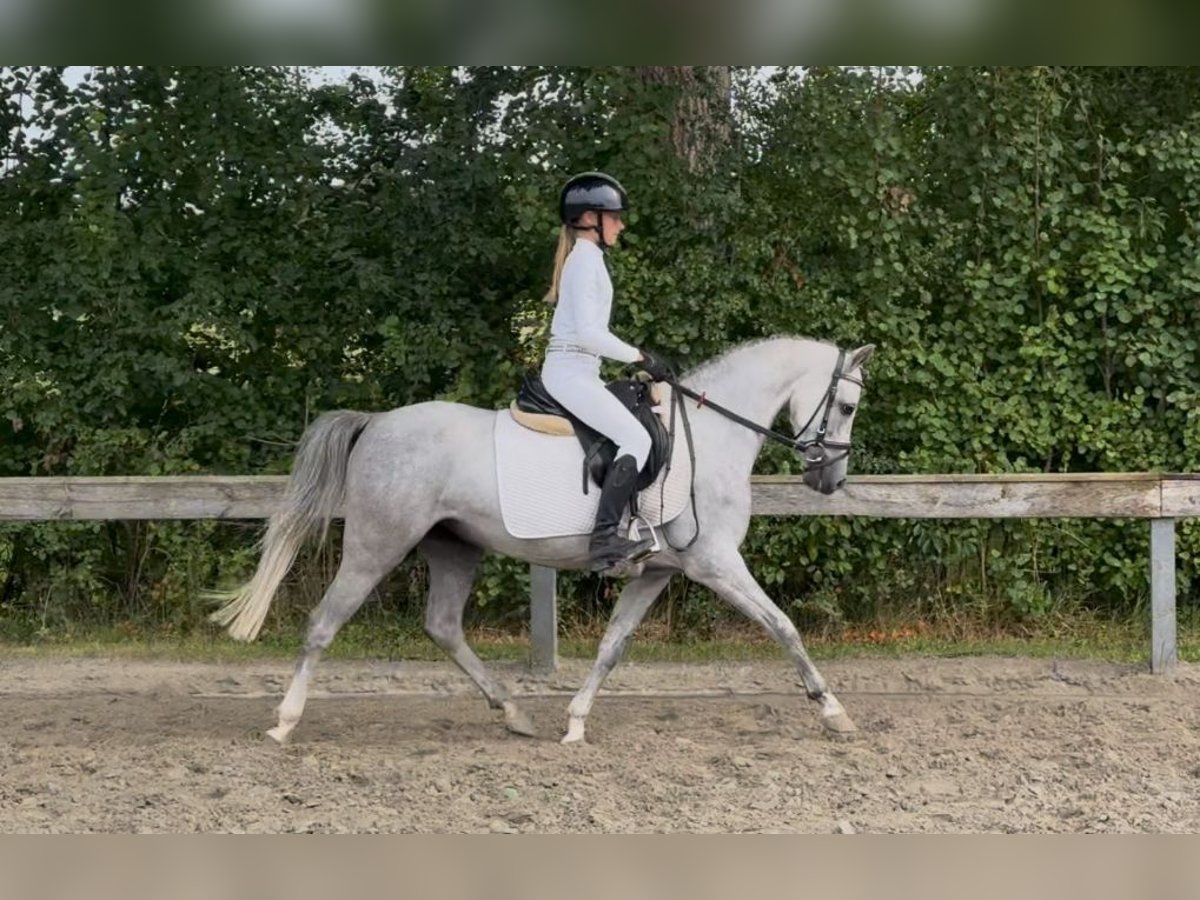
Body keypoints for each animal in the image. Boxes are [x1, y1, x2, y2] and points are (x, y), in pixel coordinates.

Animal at [210, 335, 875, 744]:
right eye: (845, 405)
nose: (830, 480)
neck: (709, 436)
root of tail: (376, 423)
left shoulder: (659, 572)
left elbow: (612, 646)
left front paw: (575, 723)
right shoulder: (714, 562)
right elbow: (783, 625)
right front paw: (834, 710)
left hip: (455, 548)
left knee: (443, 627)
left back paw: (514, 714)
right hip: (379, 543)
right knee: (325, 622)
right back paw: (284, 721)